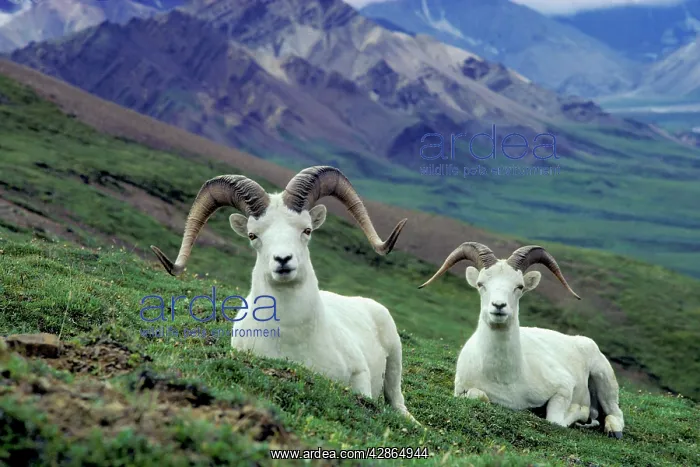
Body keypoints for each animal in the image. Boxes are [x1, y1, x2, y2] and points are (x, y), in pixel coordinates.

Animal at [150, 166, 418, 423]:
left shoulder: (359, 373)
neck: (293, 339)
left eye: (307, 230)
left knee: (397, 402)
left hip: (395, 358)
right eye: (253, 235)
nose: (283, 260)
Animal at [418, 242, 624, 438]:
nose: (498, 306)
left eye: (519, 286)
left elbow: (556, 420)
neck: (504, 378)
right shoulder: (462, 390)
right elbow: (476, 395)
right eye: (480, 284)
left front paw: (580, 412)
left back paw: (611, 429)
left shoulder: (564, 388)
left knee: (615, 413)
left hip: (603, 377)